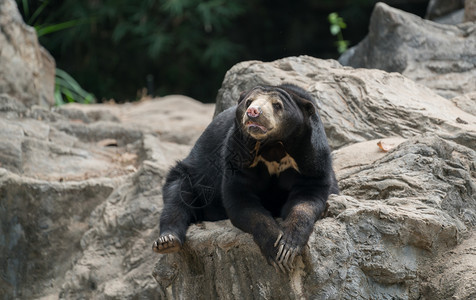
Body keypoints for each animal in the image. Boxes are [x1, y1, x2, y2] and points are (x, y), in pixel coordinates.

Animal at [153, 82, 338, 272]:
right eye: (249, 101)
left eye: (277, 105)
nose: (253, 112)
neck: (274, 146)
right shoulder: (237, 156)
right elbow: (241, 199)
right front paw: (274, 248)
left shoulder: (312, 158)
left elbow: (307, 197)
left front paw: (288, 246)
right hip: (192, 175)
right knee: (177, 198)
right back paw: (167, 241)